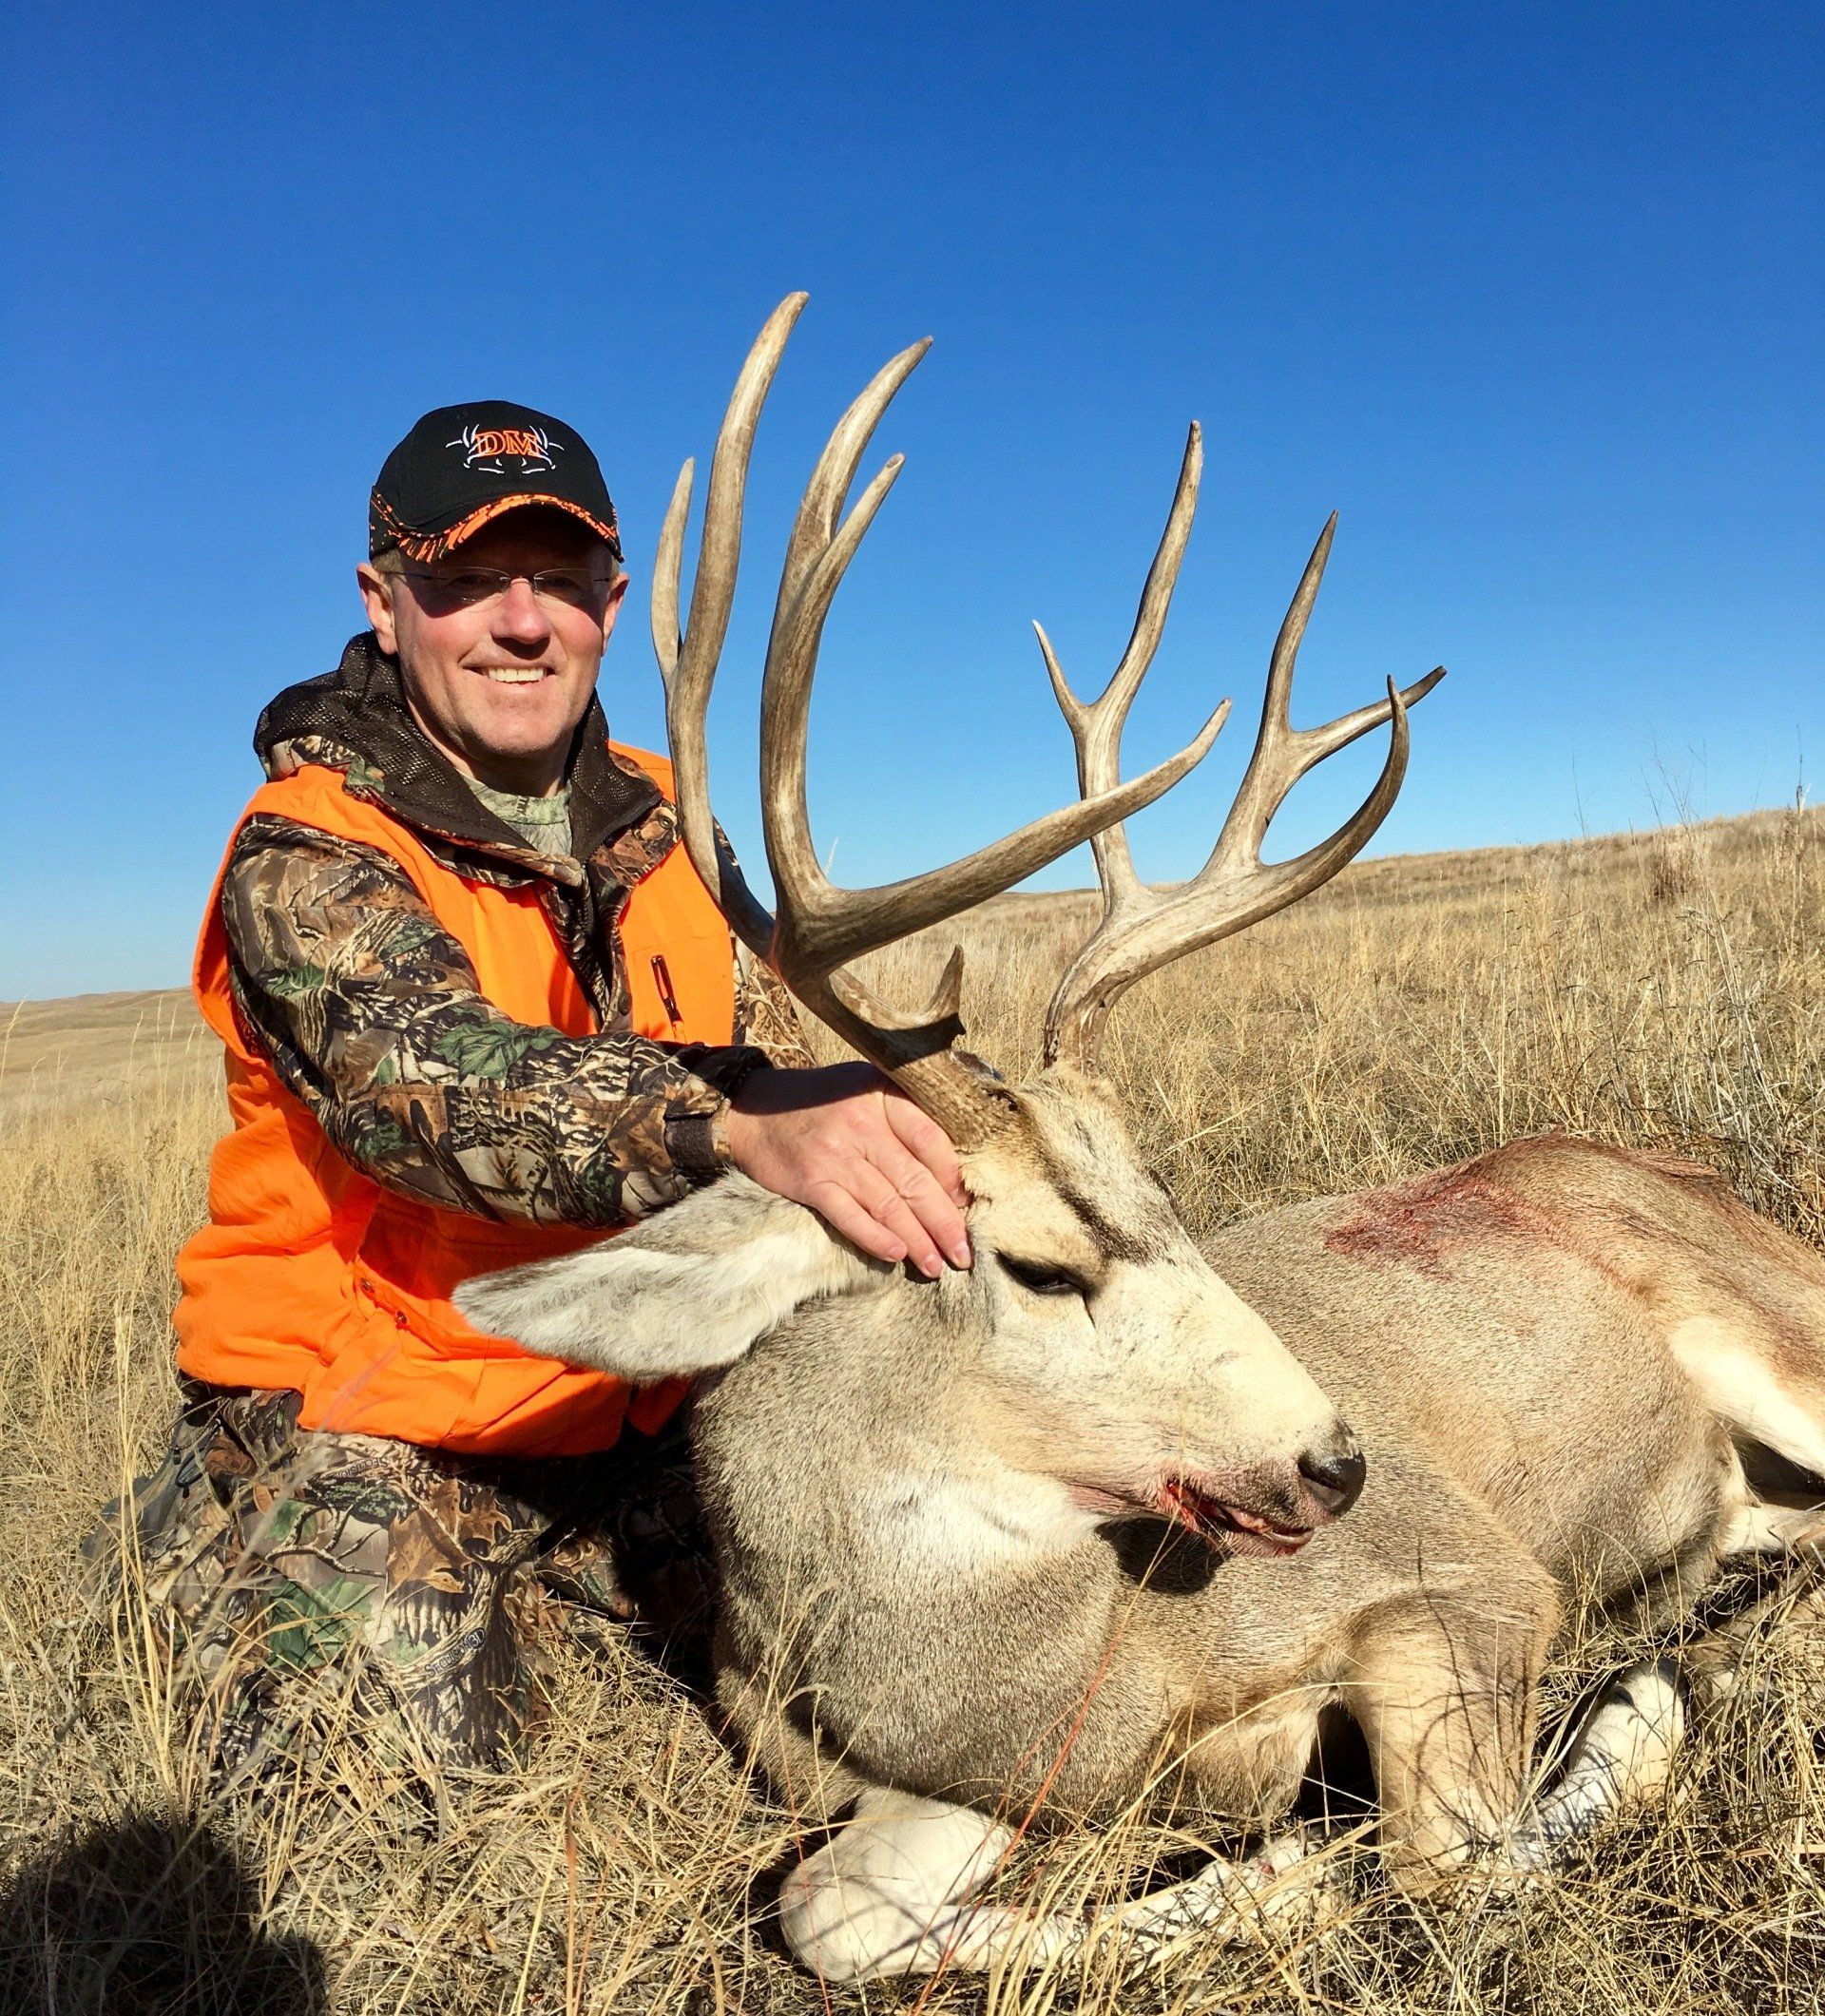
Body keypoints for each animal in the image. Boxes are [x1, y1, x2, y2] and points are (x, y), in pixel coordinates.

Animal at [457, 296, 1825, 1982]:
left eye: (1172, 1196)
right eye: (1045, 1267)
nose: (1338, 1458)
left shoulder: (1473, 1574)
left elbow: (1449, 1859)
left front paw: (1613, 1714)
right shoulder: (945, 1782)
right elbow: (830, 1913)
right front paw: (1285, 1867)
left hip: (1779, 1319)